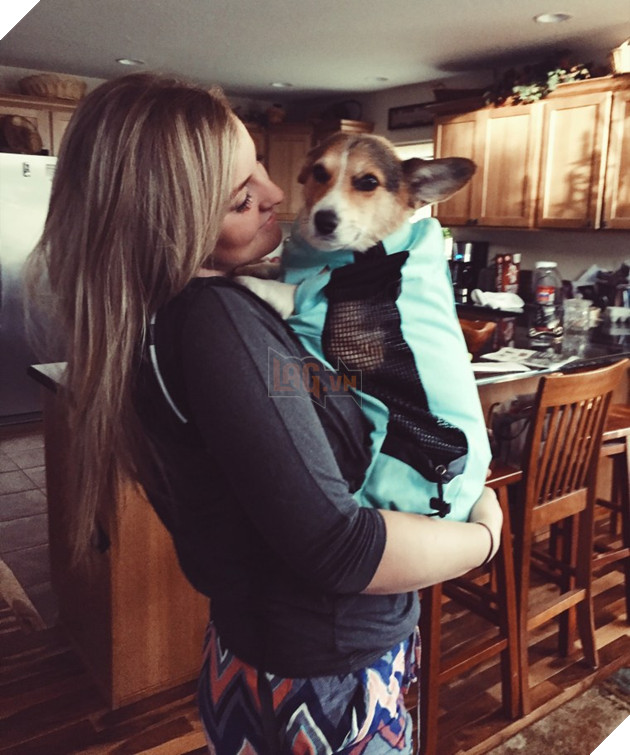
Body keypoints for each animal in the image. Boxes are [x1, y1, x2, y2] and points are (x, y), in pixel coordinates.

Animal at [239, 133, 492, 520]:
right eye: (319, 172)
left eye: (368, 182)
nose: (323, 220)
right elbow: (274, 269)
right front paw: (257, 265)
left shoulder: (314, 304)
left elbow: (287, 288)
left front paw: (237, 277)